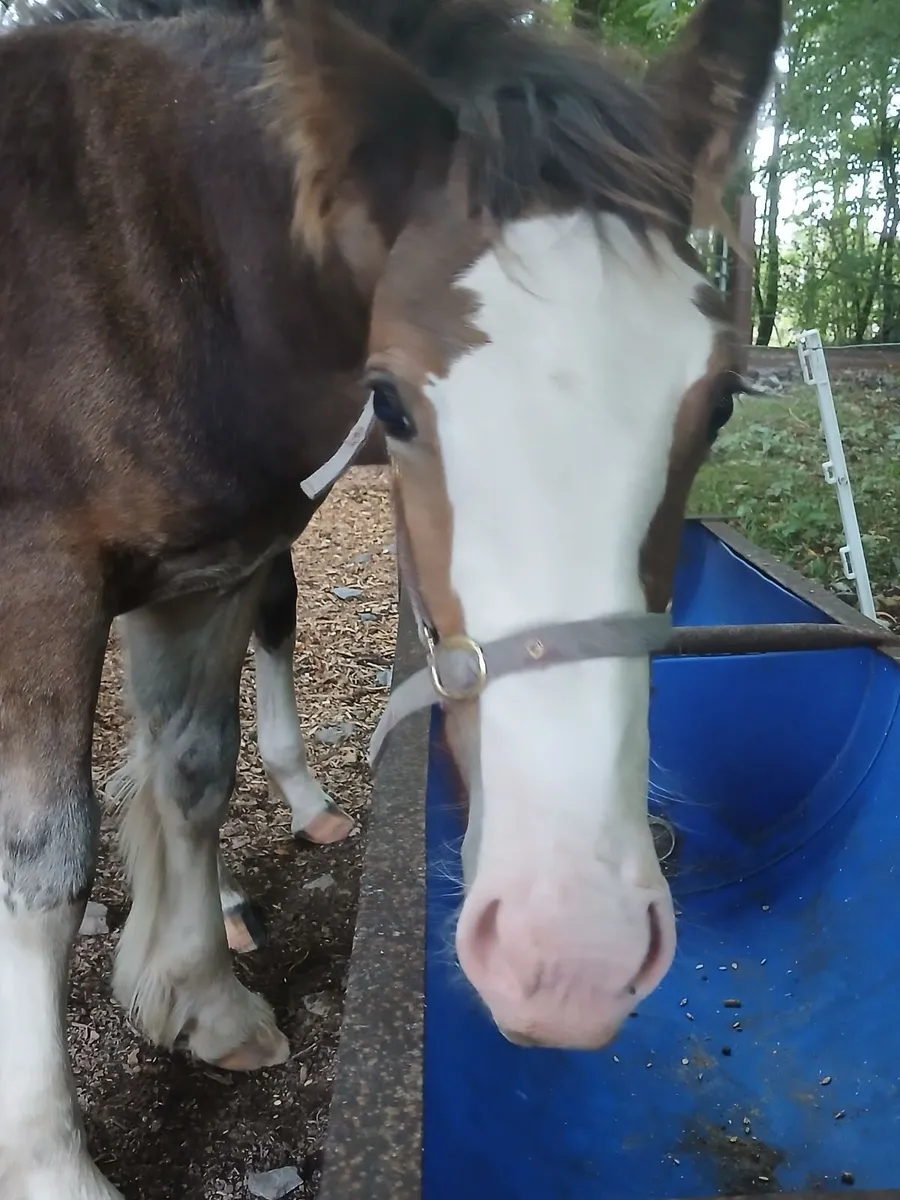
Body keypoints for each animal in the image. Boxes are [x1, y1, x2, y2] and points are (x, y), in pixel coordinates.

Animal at [0, 0, 781, 1192]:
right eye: (391, 404)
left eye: (725, 400)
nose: (569, 958)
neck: (135, 261)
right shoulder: (39, 581)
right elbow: (45, 863)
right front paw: (48, 1163)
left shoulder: (210, 574)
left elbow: (192, 776)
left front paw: (202, 1002)